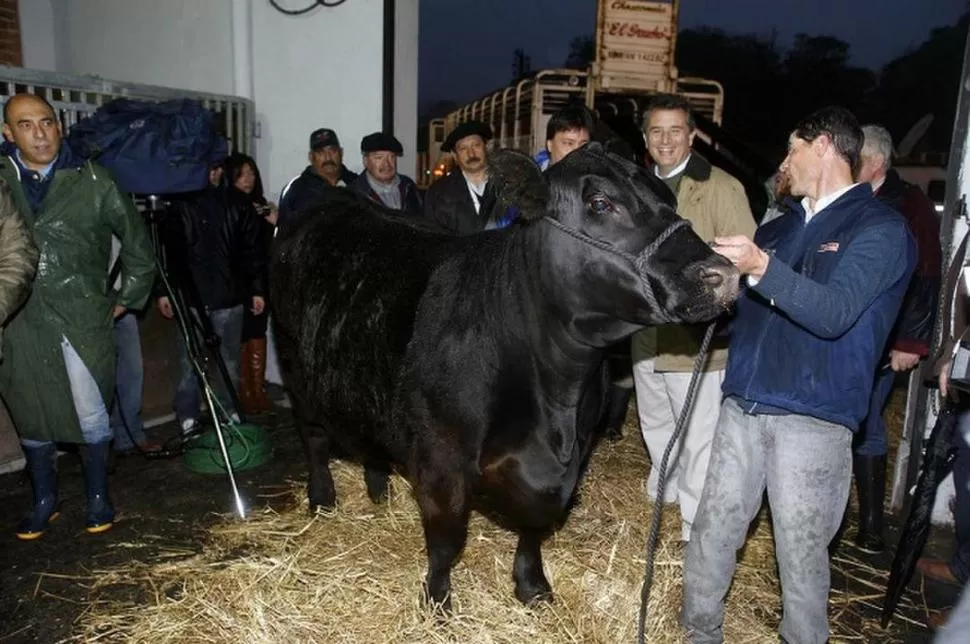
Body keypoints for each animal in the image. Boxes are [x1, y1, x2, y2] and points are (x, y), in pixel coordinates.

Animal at [268, 145, 736, 608]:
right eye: (600, 203)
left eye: (669, 198)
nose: (722, 274)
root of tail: (329, 201)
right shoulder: (441, 460)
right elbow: (447, 537)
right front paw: (437, 599)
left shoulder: (572, 458)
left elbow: (536, 525)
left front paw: (532, 585)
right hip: (296, 371)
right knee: (313, 438)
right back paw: (323, 498)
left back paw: (378, 488)